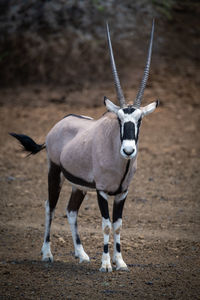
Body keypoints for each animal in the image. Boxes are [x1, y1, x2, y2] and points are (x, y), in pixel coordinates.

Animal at [10, 21, 159, 272]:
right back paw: (47, 254)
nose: (128, 151)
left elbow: (118, 225)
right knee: (50, 207)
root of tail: (59, 124)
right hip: (54, 172)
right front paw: (106, 264)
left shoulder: (122, 192)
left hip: (78, 186)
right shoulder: (101, 191)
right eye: (119, 119)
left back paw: (81, 254)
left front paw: (120, 262)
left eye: (139, 120)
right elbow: (106, 225)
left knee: (71, 211)